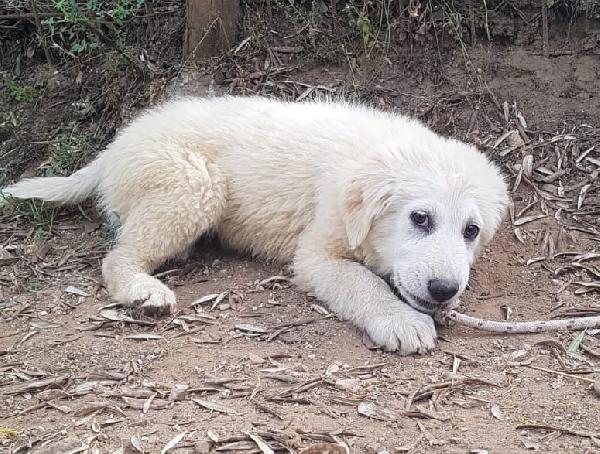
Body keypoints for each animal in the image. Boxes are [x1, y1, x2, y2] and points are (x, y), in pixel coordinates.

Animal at [2, 96, 508, 354]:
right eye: (420, 218)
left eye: (471, 231)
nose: (444, 290)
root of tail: (116, 146)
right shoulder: (317, 253)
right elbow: (361, 282)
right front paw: (401, 322)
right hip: (194, 184)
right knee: (118, 255)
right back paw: (144, 291)